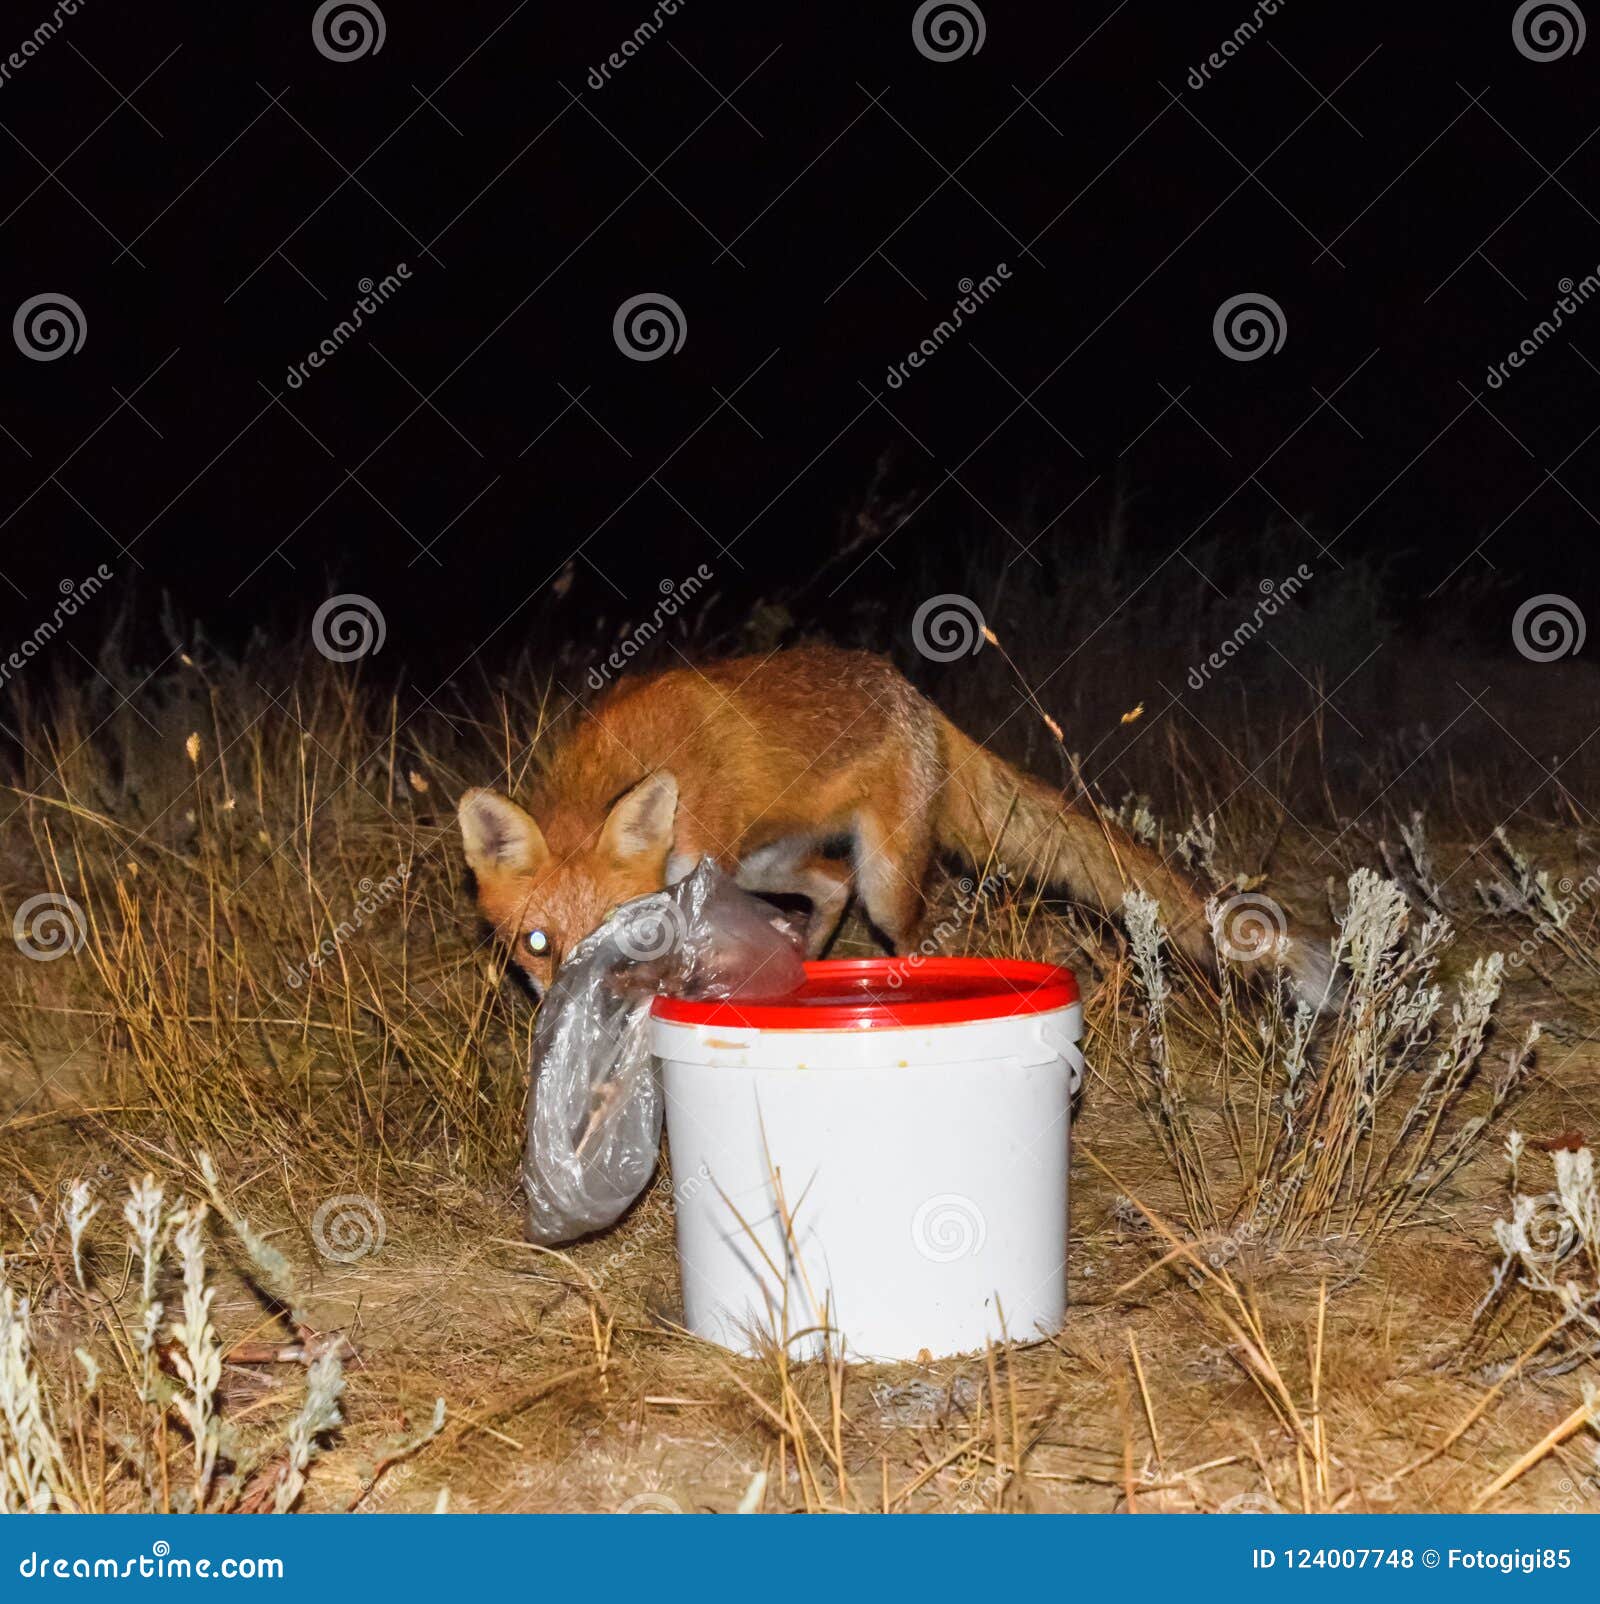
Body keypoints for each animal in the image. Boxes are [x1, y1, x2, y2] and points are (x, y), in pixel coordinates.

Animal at [457, 645, 1327, 1003]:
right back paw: (806, 957)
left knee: (900, 925)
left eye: (625, 932)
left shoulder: (701, 877)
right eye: (538, 943)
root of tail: (915, 694)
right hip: (768, 864)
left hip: (882, 883)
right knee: (828, 885)